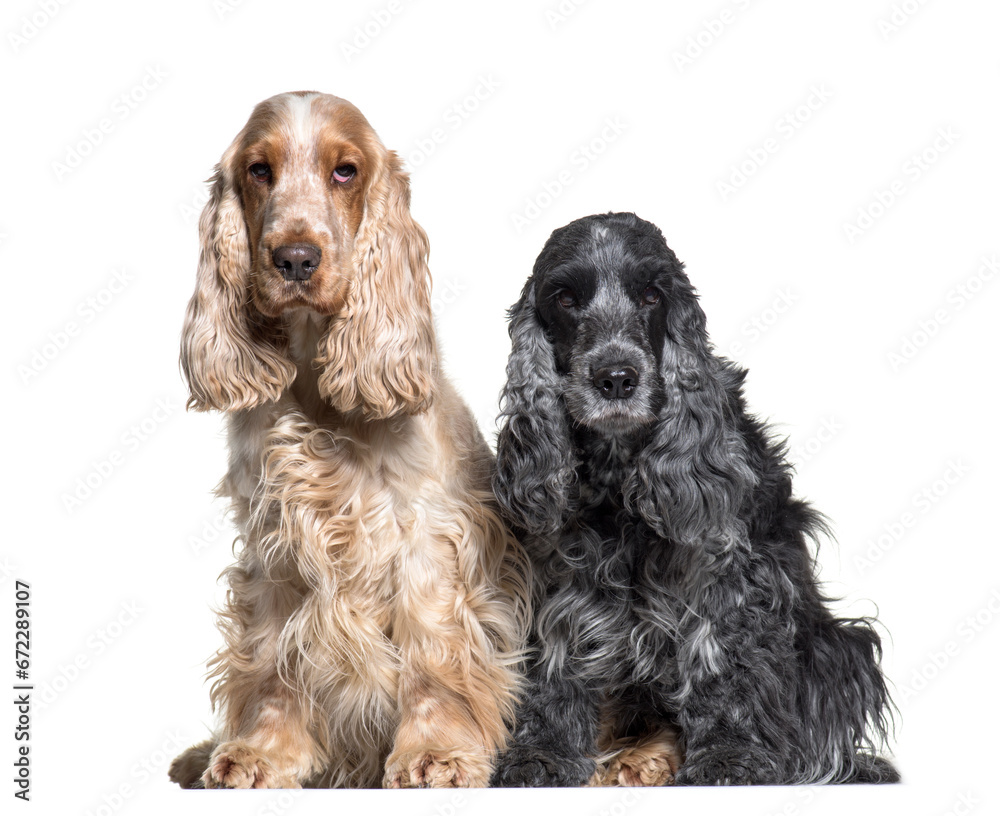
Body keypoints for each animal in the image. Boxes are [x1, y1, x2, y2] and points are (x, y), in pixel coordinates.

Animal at [167, 94, 528, 792]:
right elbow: (272, 655)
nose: (295, 258)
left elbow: (431, 652)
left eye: (345, 171)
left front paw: (434, 753)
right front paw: (262, 752)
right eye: (259, 170)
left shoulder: (427, 537)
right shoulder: (277, 537)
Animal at [490, 214, 900, 788]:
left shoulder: (725, 568)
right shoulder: (561, 566)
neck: (619, 468)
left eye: (651, 295)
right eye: (566, 298)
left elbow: (720, 655)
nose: (615, 378)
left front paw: (730, 755)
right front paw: (542, 752)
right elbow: (555, 654)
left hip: (838, 647)